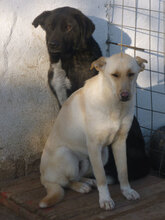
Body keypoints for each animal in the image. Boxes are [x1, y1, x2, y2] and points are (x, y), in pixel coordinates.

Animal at [39, 52, 147, 210]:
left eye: (131, 74)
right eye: (114, 75)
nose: (125, 95)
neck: (114, 105)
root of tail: (43, 177)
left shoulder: (120, 142)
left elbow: (123, 172)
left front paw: (127, 191)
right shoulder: (94, 145)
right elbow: (102, 177)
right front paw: (105, 200)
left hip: (103, 154)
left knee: (78, 176)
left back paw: (88, 181)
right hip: (66, 154)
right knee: (65, 182)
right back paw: (80, 187)